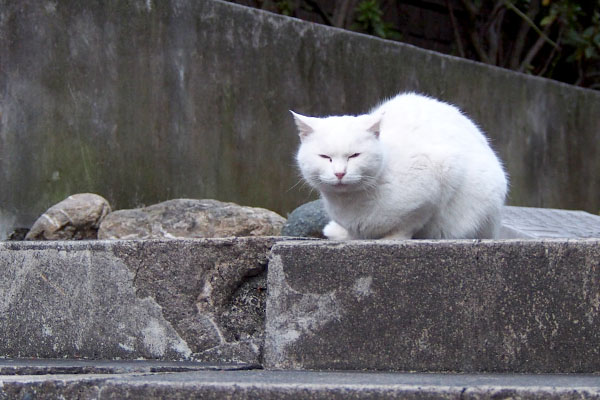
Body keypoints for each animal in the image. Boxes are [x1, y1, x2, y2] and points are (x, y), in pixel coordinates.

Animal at [292, 92, 508, 239]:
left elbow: (408, 223)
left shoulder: (440, 176)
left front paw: (391, 239)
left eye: (354, 155)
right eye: (325, 157)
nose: (339, 173)